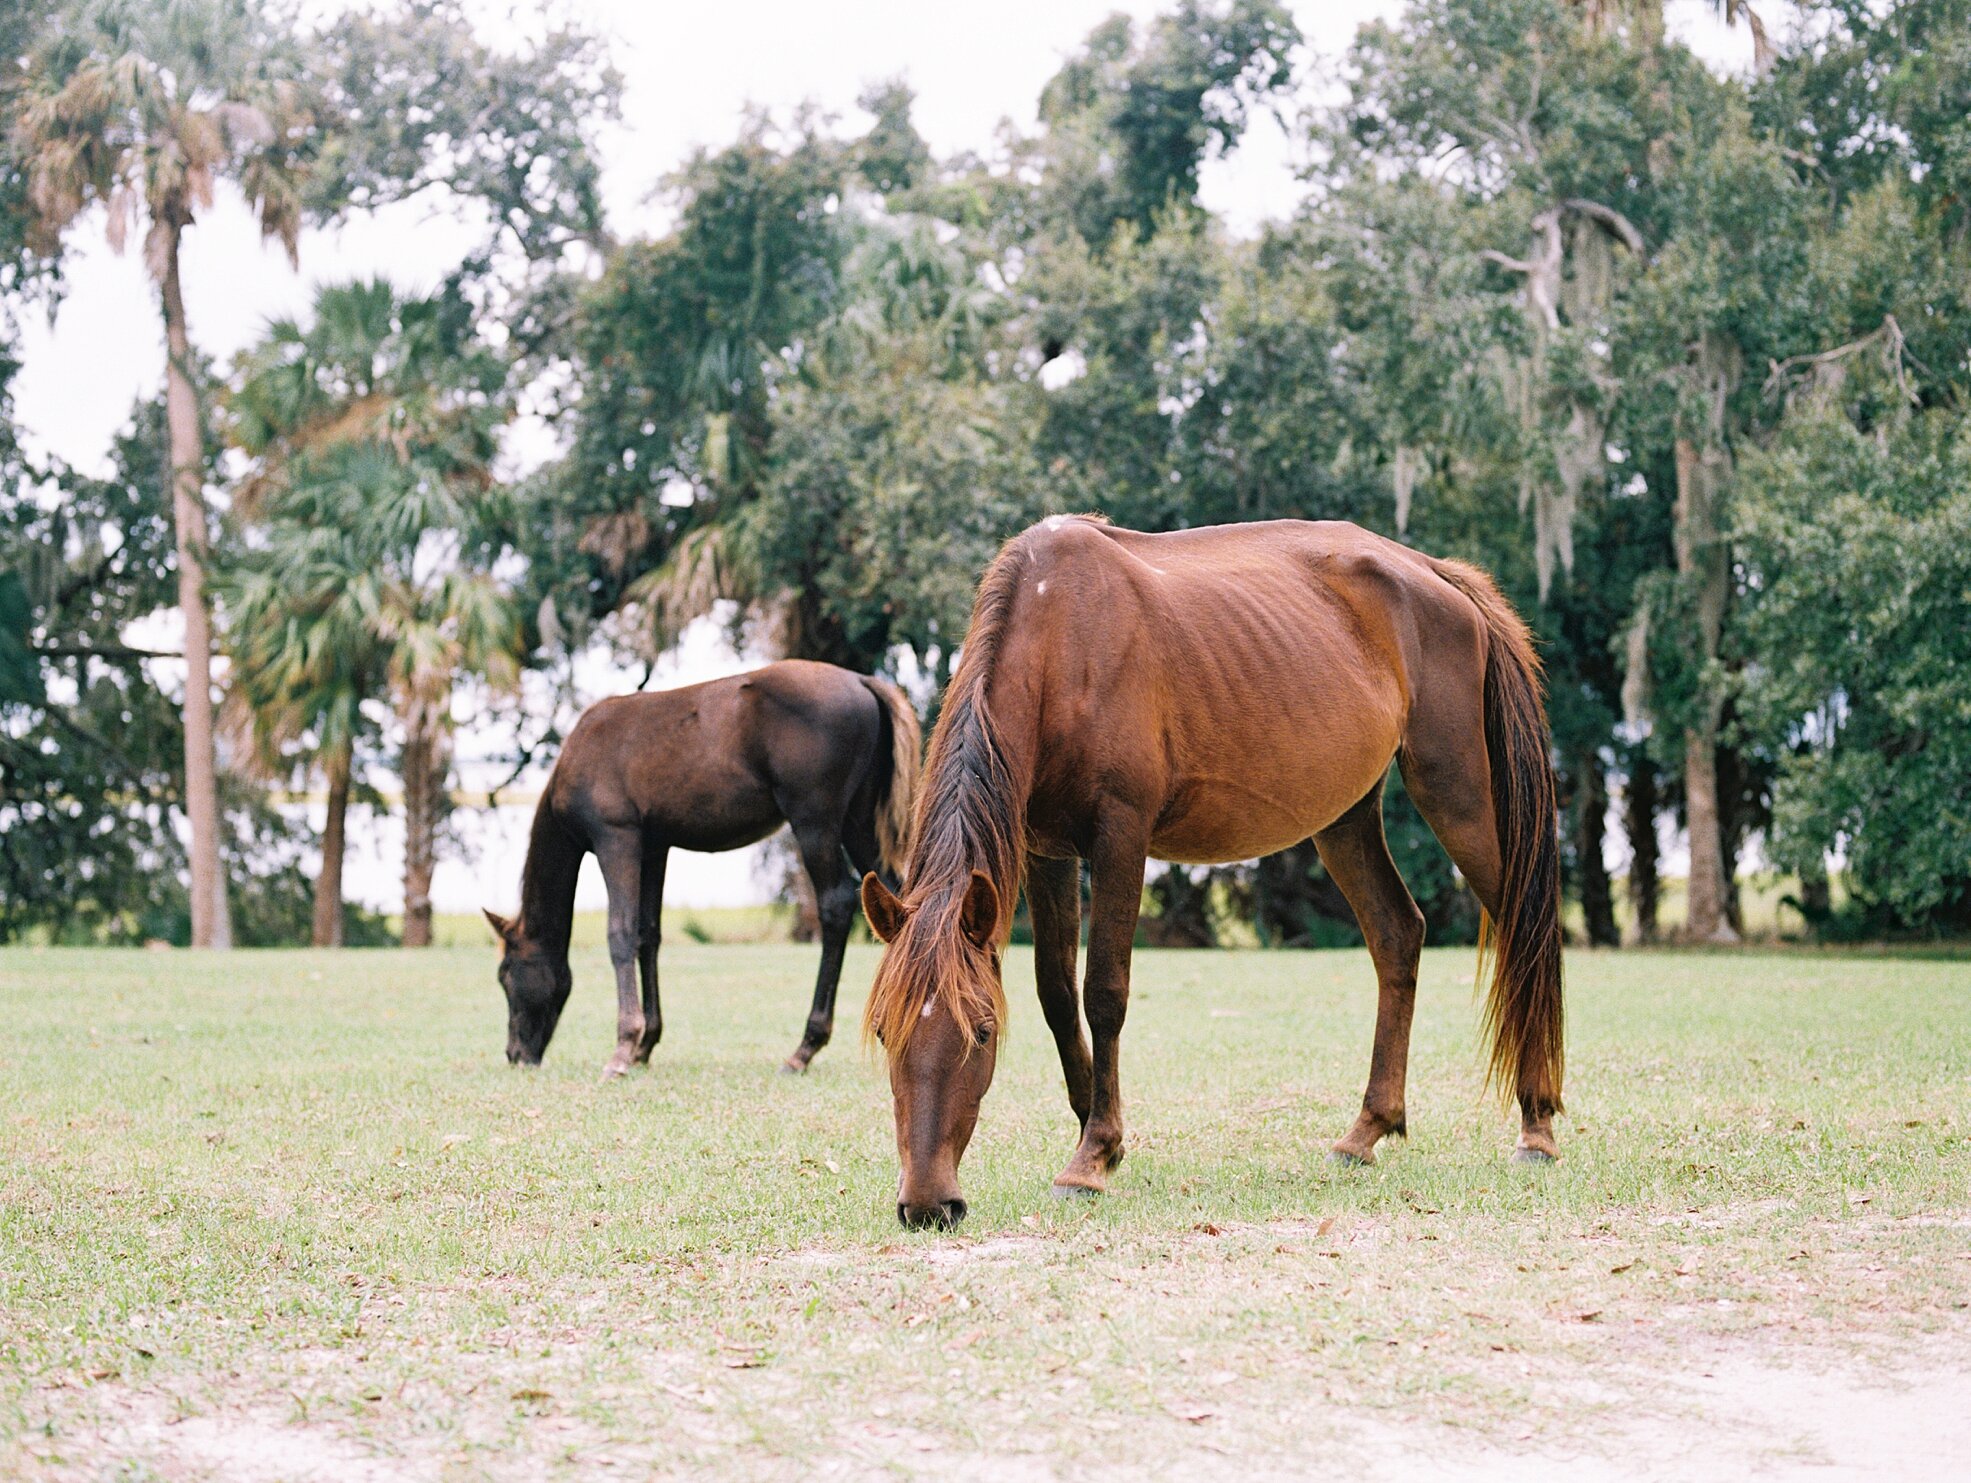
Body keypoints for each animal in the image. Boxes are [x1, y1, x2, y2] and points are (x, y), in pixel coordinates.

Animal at [492, 658, 922, 1080]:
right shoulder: (655, 849)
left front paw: (623, 1049)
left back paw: (804, 1049)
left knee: (835, 906)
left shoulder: (617, 841)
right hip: (858, 822)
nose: (515, 1054)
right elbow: (648, 936)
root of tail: (861, 681)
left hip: (815, 822)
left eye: (506, 974)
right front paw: (645, 1045)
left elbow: (620, 935)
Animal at [859, 516, 1553, 1230]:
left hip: (1455, 790)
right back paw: (1366, 1131)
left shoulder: (1121, 837)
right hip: (1345, 817)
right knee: (1397, 934)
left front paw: (1092, 1157)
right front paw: (1095, 1130)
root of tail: (1437, 575)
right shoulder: (1046, 850)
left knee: (1524, 928)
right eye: (884, 1030)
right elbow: (1056, 995)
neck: (1059, 640)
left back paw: (1536, 1126)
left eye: (983, 1031)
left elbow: (1103, 992)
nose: (926, 1204)